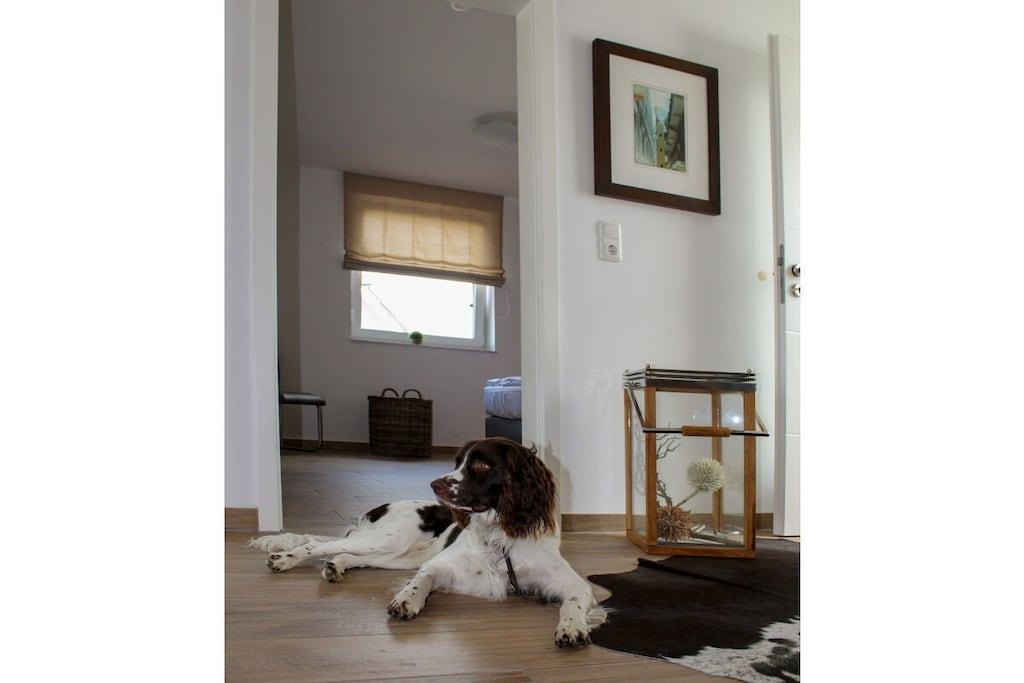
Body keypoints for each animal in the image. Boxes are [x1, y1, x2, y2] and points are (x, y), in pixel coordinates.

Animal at [249, 437, 606, 648]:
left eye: (481, 464)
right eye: (457, 461)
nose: (435, 484)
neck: (500, 536)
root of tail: (383, 505)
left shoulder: (574, 583)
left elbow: (573, 602)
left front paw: (572, 628)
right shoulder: (439, 566)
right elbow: (422, 580)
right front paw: (406, 600)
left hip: (394, 554)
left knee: (347, 553)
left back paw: (334, 568)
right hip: (389, 539)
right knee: (320, 544)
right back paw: (283, 559)